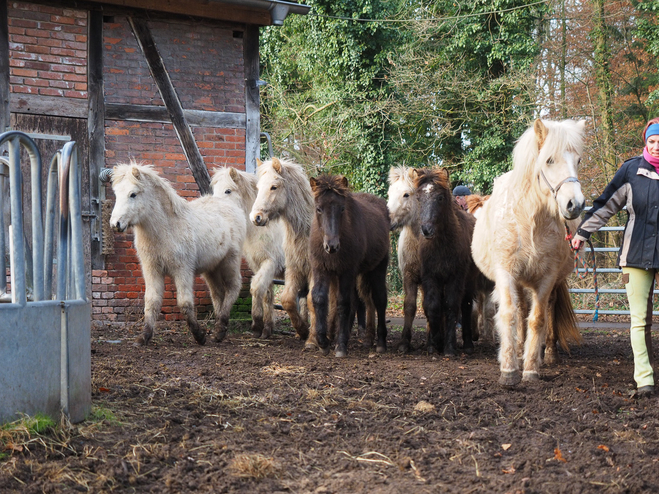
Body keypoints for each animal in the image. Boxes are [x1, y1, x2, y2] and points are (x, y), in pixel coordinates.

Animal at [109, 164, 246, 346]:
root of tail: (231, 205)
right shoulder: (152, 270)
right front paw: (143, 337)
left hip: (230, 261)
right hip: (211, 268)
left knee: (233, 288)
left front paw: (199, 336)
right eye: (116, 193)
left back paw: (219, 329)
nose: (115, 224)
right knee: (218, 293)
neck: (165, 229)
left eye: (133, 194)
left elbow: (184, 303)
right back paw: (219, 330)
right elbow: (151, 301)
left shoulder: (182, 270)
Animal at [210, 166, 284, 340]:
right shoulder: (259, 265)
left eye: (228, 190)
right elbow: (267, 294)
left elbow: (256, 288)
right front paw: (266, 329)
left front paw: (256, 325)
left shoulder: (271, 263)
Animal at [310, 176, 392, 356]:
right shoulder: (321, 269)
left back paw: (381, 342)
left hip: (377, 269)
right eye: (318, 209)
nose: (331, 246)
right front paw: (323, 342)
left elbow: (343, 303)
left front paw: (341, 345)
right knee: (361, 301)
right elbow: (320, 299)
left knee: (379, 299)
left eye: (342, 208)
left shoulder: (346, 272)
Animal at [416, 169, 482, 356]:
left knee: (466, 307)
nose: (426, 230)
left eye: (440, 197)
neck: (441, 245)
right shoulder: (430, 277)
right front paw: (434, 344)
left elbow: (452, 307)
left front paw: (449, 347)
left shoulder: (455, 278)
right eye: (418, 198)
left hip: (468, 282)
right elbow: (433, 306)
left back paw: (467, 344)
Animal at [472, 118, 584, 386]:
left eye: (578, 161)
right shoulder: (506, 274)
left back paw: (548, 353)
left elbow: (538, 319)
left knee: (548, 310)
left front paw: (531, 369)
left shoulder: (546, 278)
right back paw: (520, 349)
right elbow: (510, 315)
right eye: (549, 160)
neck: (530, 220)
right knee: (521, 309)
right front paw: (509, 368)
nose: (575, 205)